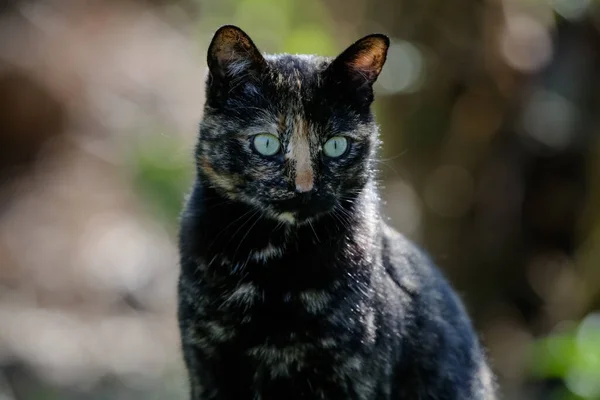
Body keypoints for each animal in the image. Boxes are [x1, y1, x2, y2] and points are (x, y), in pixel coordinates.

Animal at [178, 25, 496, 400]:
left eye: (336, 145)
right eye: (266, 143)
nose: (304, 189)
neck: (275, 268)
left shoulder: (353, 375)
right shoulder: (206, 365)